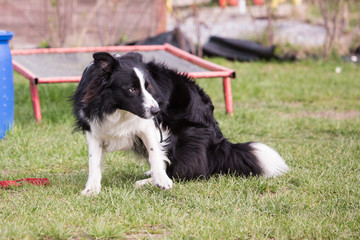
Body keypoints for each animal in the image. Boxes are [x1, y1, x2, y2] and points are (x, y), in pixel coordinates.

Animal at [71, 52, 288, 195]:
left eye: (148, 87)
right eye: (131, 89)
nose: (157, 111)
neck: (117, 109)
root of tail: (218, 138)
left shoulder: (149, 125)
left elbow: (154, 151)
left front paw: (161, 181)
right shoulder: (94, 126)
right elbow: (94, 160)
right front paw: (91, 188)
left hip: (183, 134)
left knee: (190, 170)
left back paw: (148, 180)